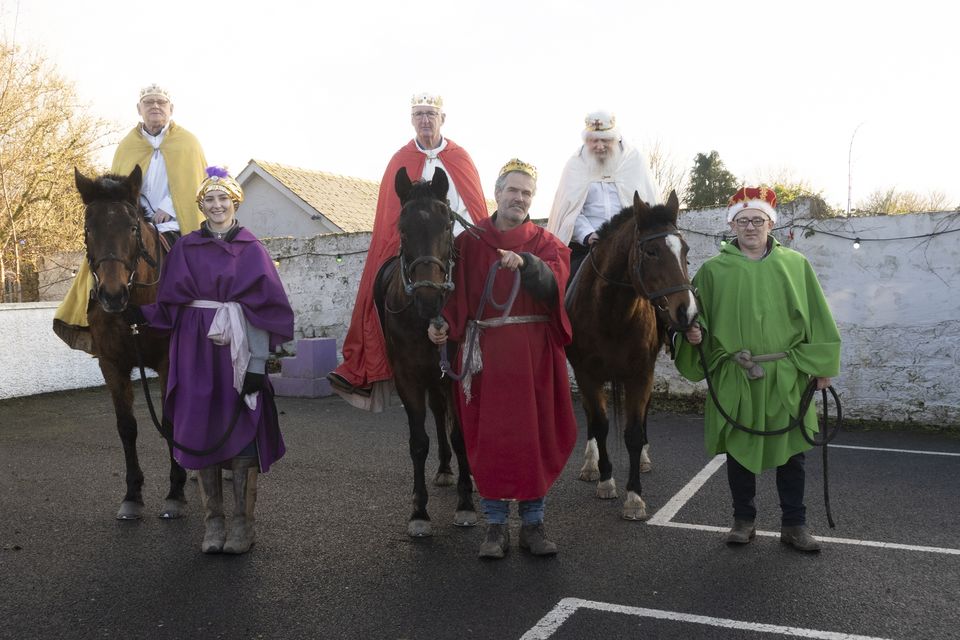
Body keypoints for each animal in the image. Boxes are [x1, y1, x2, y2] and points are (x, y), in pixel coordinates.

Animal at [75, 165, 188, 520]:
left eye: (133, 227)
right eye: (89, 228)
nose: (112, 295)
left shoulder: (169, 361)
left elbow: (170, 420)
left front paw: (175, 492)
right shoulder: (112, 364)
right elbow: (126, 426)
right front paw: (132, 495)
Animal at [376, 168, 478, 536]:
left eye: (447, 225)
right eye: (403, 229)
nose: (429, 298)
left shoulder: (453, 375)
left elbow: (460, 435)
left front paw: (466, 504)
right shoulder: (408, 378)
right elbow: (419, 442)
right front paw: (419, 511)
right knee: (436, 412)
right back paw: (446, 469)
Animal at [568, 190, 692, 520]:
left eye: (685, 250)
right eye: (650, 252)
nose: (687, 311)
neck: (612, 312)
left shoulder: (641, 374)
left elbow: (634, 433)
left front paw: (634, 497)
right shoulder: (586, 374)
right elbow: (599, 424)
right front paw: (605, 480)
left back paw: (645, 459)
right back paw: (590, 464)